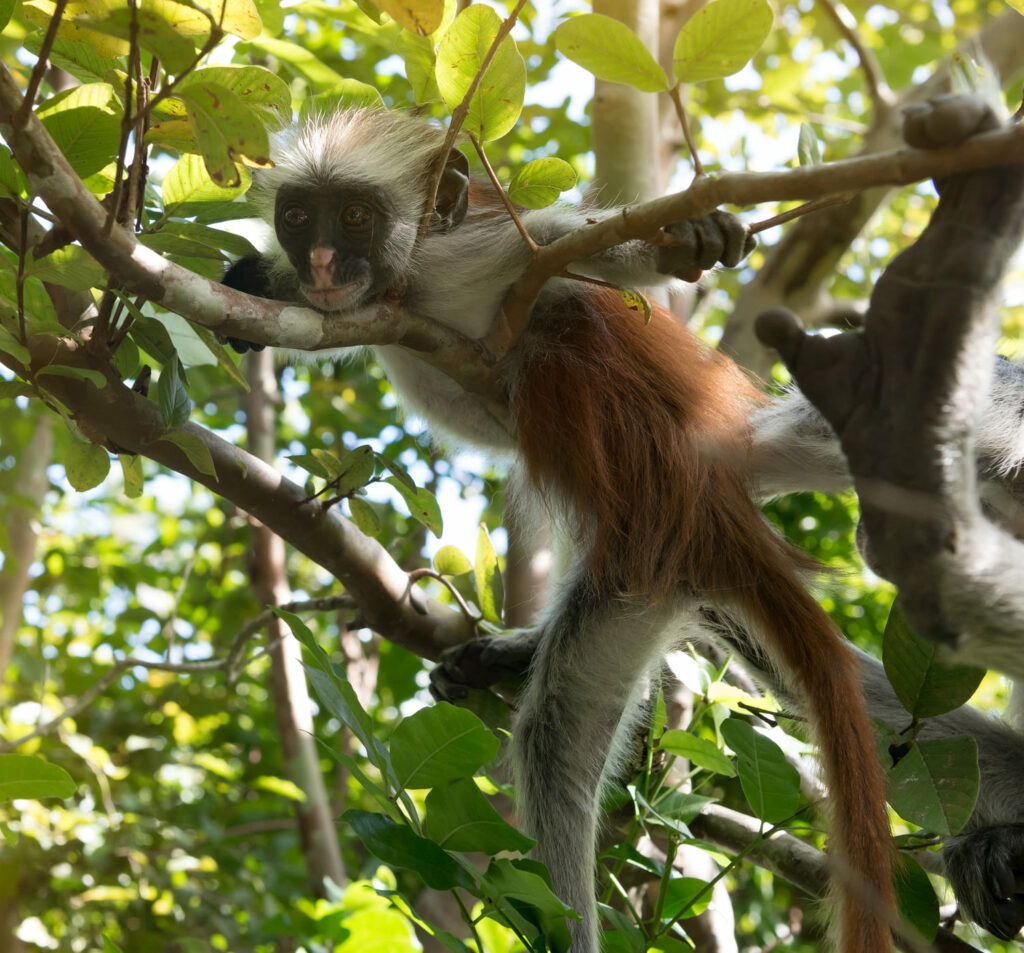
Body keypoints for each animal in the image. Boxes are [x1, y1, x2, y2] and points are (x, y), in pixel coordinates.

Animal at [220, 106, 901, 953]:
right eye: (296, 217)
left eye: (352, 218)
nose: (315, 258)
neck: (410, 284)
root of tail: (704, 493)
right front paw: (257, 287)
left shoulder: (483, 249)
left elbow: (568, 249)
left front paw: (688, 239)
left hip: (634, 554)